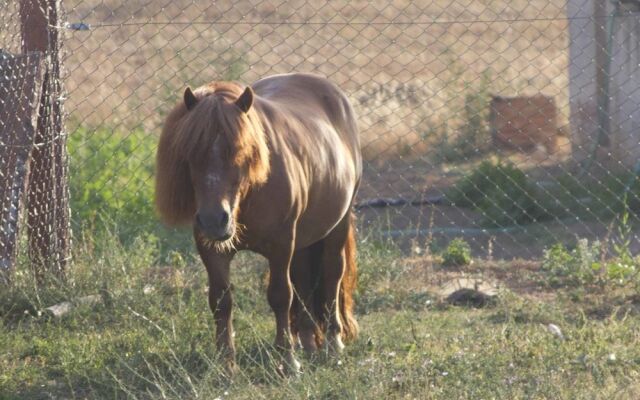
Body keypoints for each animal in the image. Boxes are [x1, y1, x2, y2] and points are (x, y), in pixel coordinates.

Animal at [155, 72, 360, 372]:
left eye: (241, 150)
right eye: (191, 152)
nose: (214, 220)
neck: (249, 194)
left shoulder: (281, 245)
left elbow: (280, 295)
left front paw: (287, 360)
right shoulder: (212, 250)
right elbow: (221, 300)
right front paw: (226, 364)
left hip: (336, 227)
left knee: (332, 276)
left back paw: (333, 344)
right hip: (304, 239)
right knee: (304, 280)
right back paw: (308, 343)